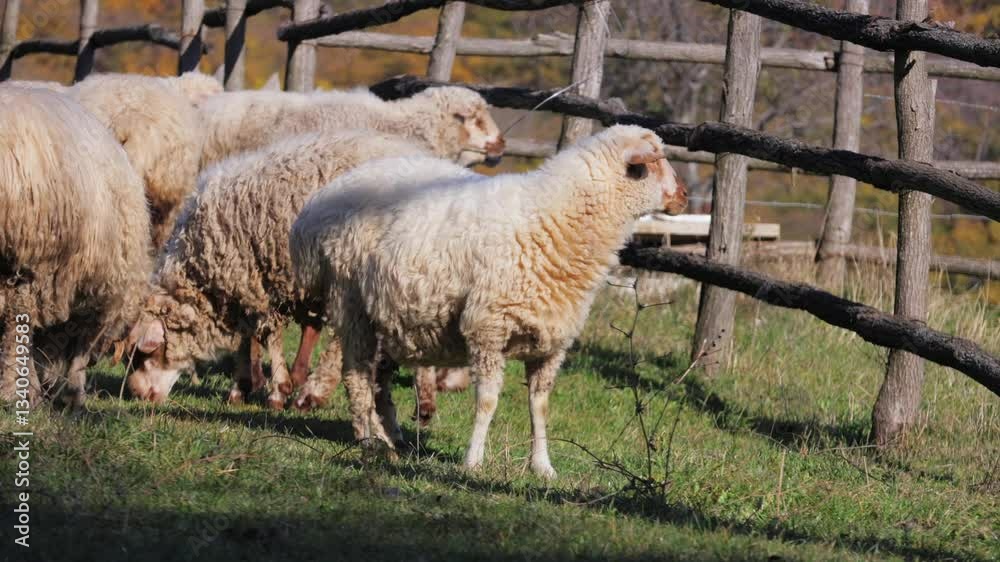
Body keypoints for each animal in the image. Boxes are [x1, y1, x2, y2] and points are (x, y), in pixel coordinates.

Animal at [119, 130, 437, 409]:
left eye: (144, 355)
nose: (137, 395)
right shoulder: (243, 288)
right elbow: (246, 339)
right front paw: (242, 386)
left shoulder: (260, 283)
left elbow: (268, 337)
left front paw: (278, 390)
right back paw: (425, 403)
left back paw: (312, 394)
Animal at [289, 125, 688, 478]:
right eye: (656, 162)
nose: (684, 195)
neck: (556, 218)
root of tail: (319, 204)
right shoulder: (488, 329)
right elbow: (487, 401)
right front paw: (473, 461)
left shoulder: (552, 341)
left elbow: (540, 406)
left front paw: (543, 467)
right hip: (350, 302)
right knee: (356, 375)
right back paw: (369, 441)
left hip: (391, 316)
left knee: (379, 378)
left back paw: (392, 439)